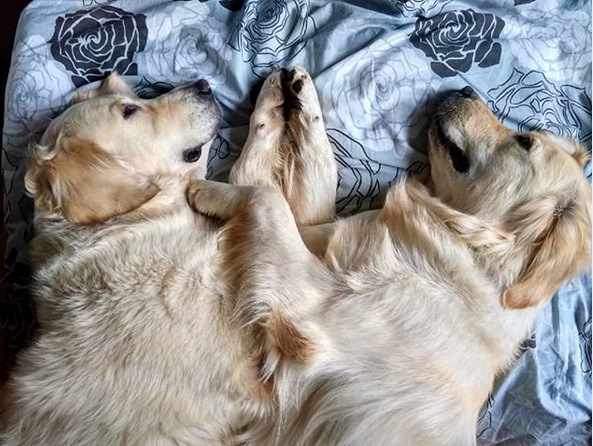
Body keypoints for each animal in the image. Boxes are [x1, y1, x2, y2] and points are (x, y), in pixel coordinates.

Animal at [0, 67, 336, 446]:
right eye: (129, 111)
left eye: (136, 99)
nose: (203, 85)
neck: (133, 220)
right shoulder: (289, 333)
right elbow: (264, 189)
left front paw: (288, 96)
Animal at [183, 85, 588, 444]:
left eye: (524, 142)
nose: (466, 89)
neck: (470, 245)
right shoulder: (326, 236)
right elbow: (293, 201)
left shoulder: (307, 315)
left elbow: (268, 198)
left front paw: (207, 192)